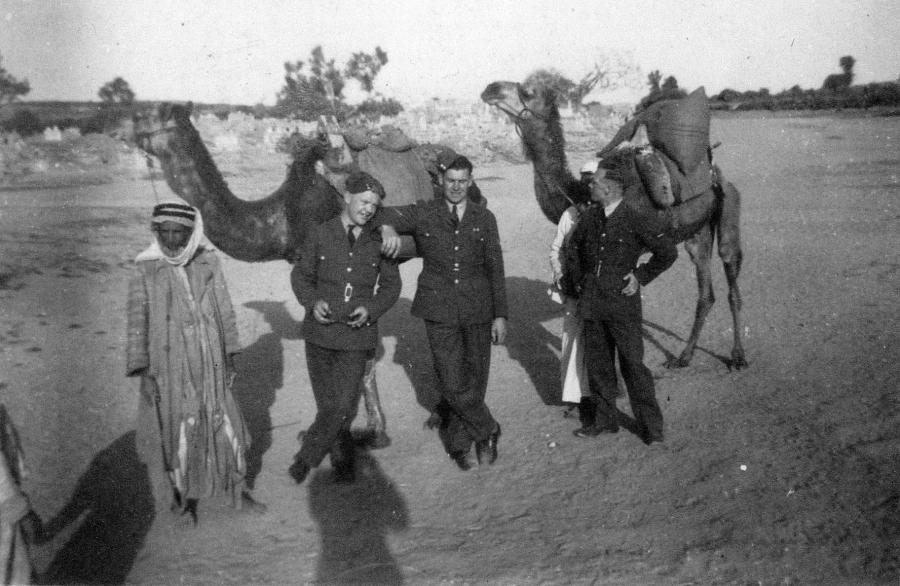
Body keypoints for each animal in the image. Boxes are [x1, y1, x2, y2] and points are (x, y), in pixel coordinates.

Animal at [482, 80, 748, 368]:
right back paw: (683, 357)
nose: (490, 89)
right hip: (698, 231)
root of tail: (714, 171)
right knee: (705, 290)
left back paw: (738, 357)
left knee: (730, 275)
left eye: (528, 91)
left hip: (729, 207)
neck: (582, 195)